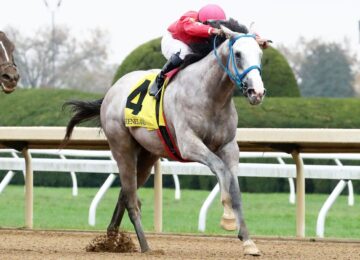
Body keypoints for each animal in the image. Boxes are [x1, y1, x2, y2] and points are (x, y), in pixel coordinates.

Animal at [63, 25, 266, 255]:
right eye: (238, 54)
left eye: (260, 54)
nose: (257, 92)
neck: (210, 95)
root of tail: (111, 91)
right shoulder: (189, 144)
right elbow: (220, 168)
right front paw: (228, 218)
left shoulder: (229, 147)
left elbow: (236, 190)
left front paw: (248, 241)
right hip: (122, 147)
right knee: (131, 199)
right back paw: (145, 246)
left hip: (147, 155)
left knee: (125, 193)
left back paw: (111, 239)